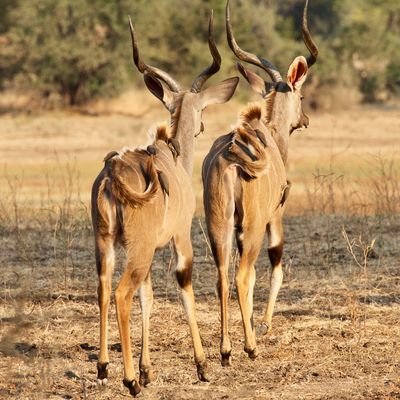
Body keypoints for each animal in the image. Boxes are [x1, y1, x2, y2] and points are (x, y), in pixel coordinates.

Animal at [90, 11, 239, 396]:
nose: (201, 126)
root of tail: (113, 170)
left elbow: (149, 297)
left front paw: (147, 370)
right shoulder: (180, 239)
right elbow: (184, 285)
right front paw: (203, 366)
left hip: (107, 247)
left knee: (104, 289)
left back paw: (104, 368)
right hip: (137, 250)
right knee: (121, 294)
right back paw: (128, 381)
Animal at [203, 0, 318, 366]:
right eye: (302, 95)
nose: (305, 119)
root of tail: (231, 157)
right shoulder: (274, 216)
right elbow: (275, 263)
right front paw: (263, 325)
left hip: (220, 226)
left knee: (222, 276)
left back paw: (226, 350)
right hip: (252, 226)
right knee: (242, 275)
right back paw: (250, 347)